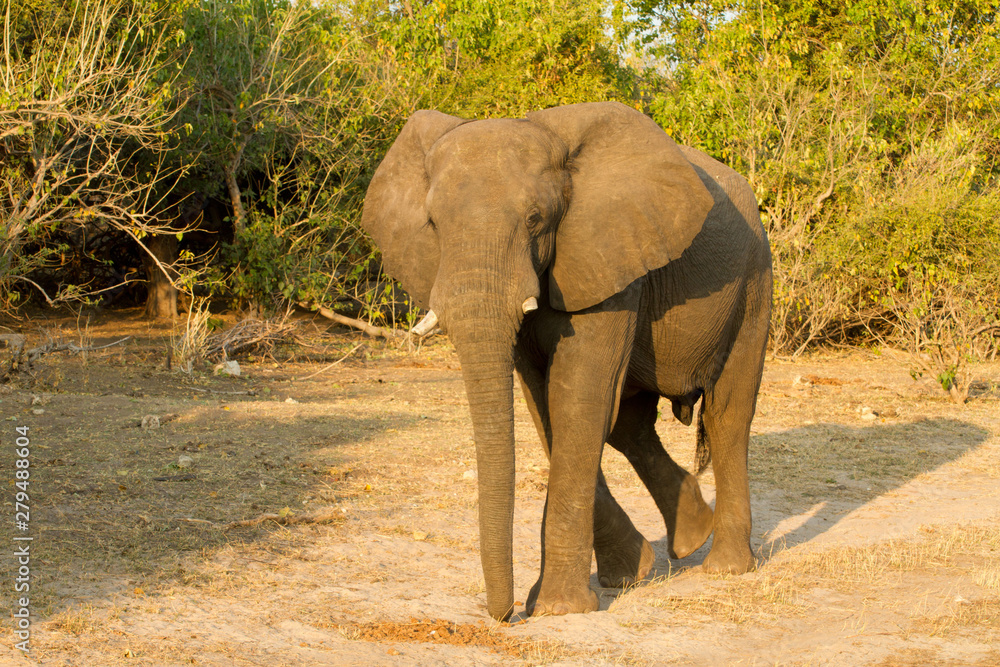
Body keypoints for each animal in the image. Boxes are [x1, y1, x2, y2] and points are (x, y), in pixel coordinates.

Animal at [361, 101, 772, 621]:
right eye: (432, 225)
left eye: (536, 219)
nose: (505, 615)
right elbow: (547, 407)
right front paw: (627, 574)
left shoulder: (609, 256)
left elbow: (577, 400)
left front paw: (556, 608)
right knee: (628, 426)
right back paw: (690, 536)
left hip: (754, 282)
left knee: (726, 414)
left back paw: (725, 567)